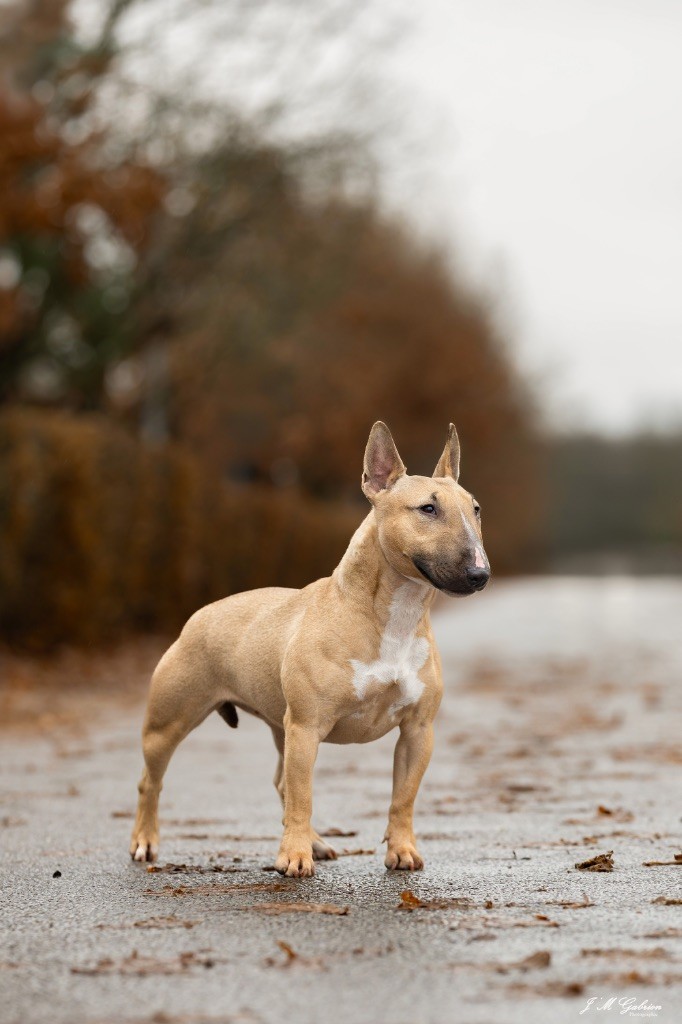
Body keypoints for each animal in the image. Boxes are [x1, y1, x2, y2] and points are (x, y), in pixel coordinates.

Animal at [129, 419, 489, 876]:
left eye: (475, 509)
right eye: (428, 509)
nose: (480, 573)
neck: (394, 615)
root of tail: (198, 615)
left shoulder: (417, 731)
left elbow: (403, 797)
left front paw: (402, 850)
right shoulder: (307, 726)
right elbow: (304, 796)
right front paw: (294, 857)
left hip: (279, 727)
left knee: (281, 782)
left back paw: (316, 843)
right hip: (169, 722)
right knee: (152, 780)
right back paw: (145, 842)